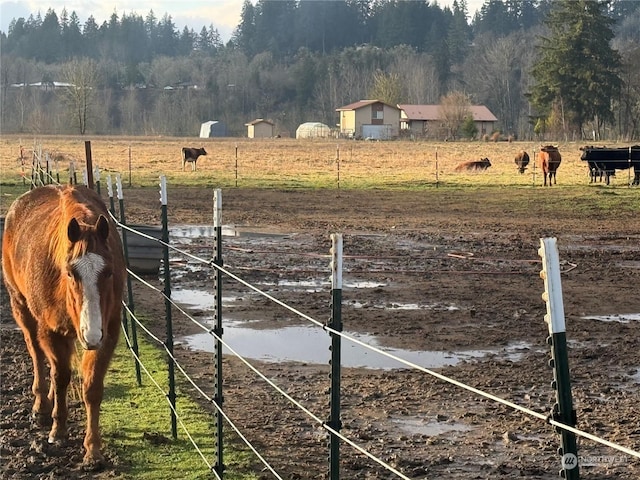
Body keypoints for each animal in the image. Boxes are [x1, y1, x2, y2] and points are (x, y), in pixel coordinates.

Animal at [1, 184, 125, 468]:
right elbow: (60, 377)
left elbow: (91, 387)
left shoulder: (108, 333)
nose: (91, 334)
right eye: (70, 273)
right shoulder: (51, 331)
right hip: (21, 307)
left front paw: (93, 449)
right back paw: (42, 407)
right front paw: (58, 430)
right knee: (37, 355)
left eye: (109, 272)